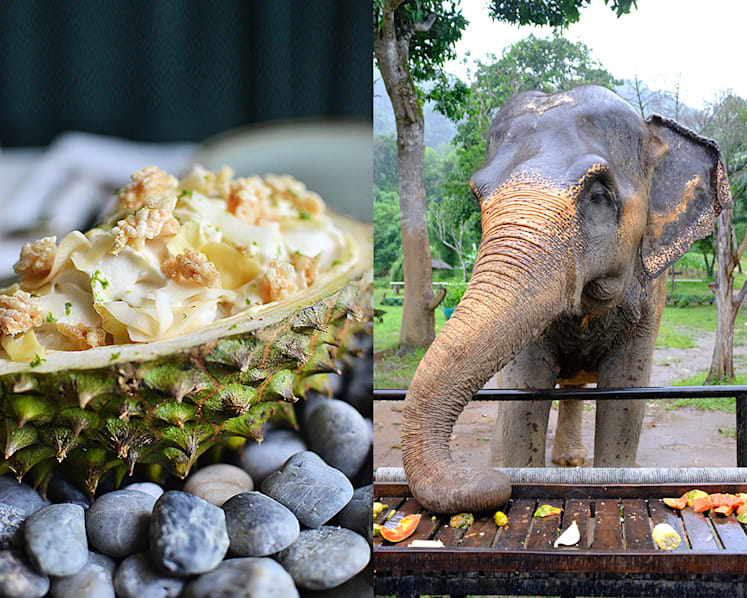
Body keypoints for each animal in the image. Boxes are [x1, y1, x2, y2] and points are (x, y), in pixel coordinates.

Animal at [401, 85, 732, 514]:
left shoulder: (650, 296)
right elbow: (525, 391)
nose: (485, 480)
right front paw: (517, 473)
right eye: (477, 197)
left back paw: (570, 462)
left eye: (599, 195)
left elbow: (626, 396)